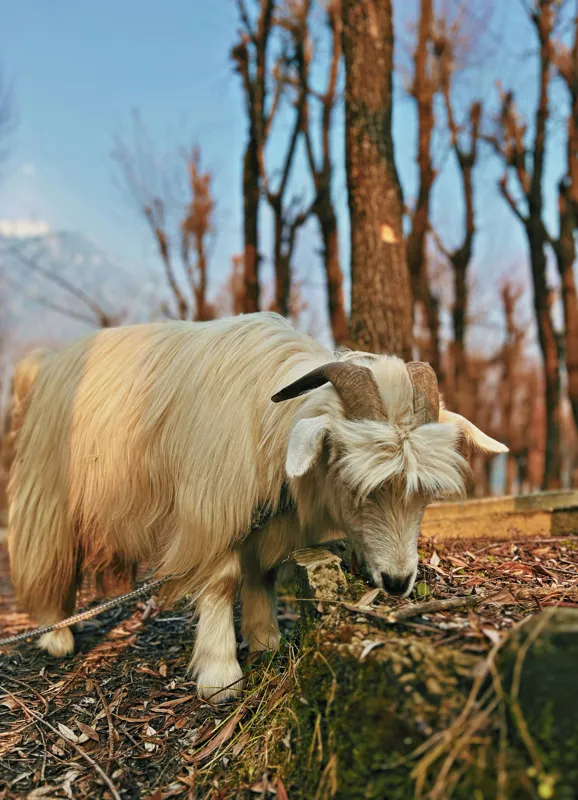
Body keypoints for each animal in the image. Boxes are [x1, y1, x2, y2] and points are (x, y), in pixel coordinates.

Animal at [7, 313, 507, 701]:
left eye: (422, 495)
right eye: (351, 482)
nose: (399, 582)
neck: (267, 419)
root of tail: (43, 365)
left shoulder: (267, 517)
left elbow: (261, 573)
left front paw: (267, 639)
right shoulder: (211, 508)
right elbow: (222, 580)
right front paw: (220, 674)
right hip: (48, 493)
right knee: (46, 556)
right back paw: (56, 633)